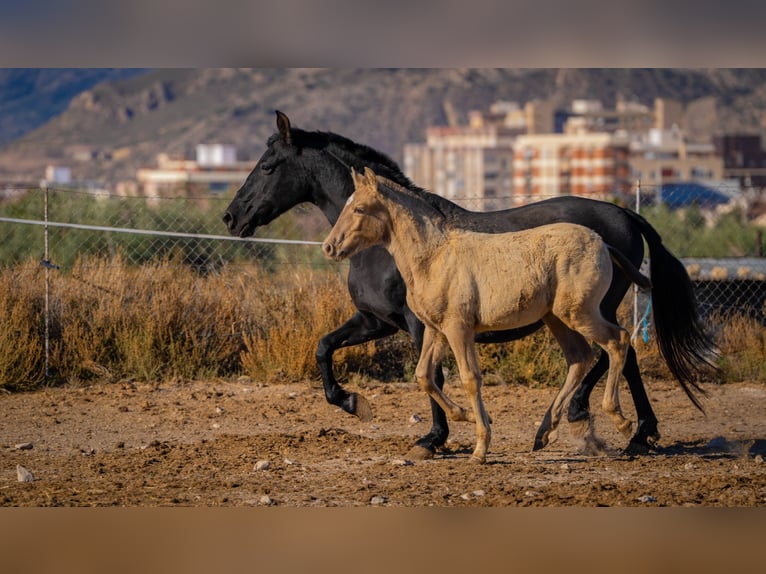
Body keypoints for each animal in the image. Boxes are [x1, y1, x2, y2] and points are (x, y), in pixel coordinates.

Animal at [323, 167, 654, 462]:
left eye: (360, 208)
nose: (329, 247)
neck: (434, 256)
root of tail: (602, 242)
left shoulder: (458, 328)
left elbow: (469, 378)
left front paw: (480, 448)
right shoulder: (435, 330)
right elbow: (424, 376)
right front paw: (466, 417)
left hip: (579, 313)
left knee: (618, 341)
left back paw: (622, 422)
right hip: (557, 319)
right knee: (580, 358)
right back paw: (546, 433)